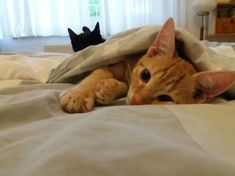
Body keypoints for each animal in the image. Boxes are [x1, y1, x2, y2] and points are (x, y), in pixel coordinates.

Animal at [59, 17, 235, 113]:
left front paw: (108, 88)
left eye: (165, 98)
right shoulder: (115, 64)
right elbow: (96, 75)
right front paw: (77, 95)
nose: (137, 101)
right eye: (145, 75)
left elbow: (124, 87)